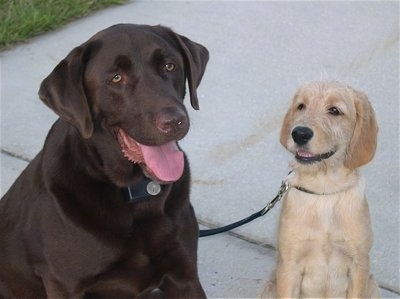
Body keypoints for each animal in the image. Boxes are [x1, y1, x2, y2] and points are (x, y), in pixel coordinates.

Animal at [262, 81, 382, 298]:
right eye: (301, 106)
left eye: (334, 110)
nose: (299, 133)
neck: (324, 191)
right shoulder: (289, 266)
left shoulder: (359, 264)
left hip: (373, 285)